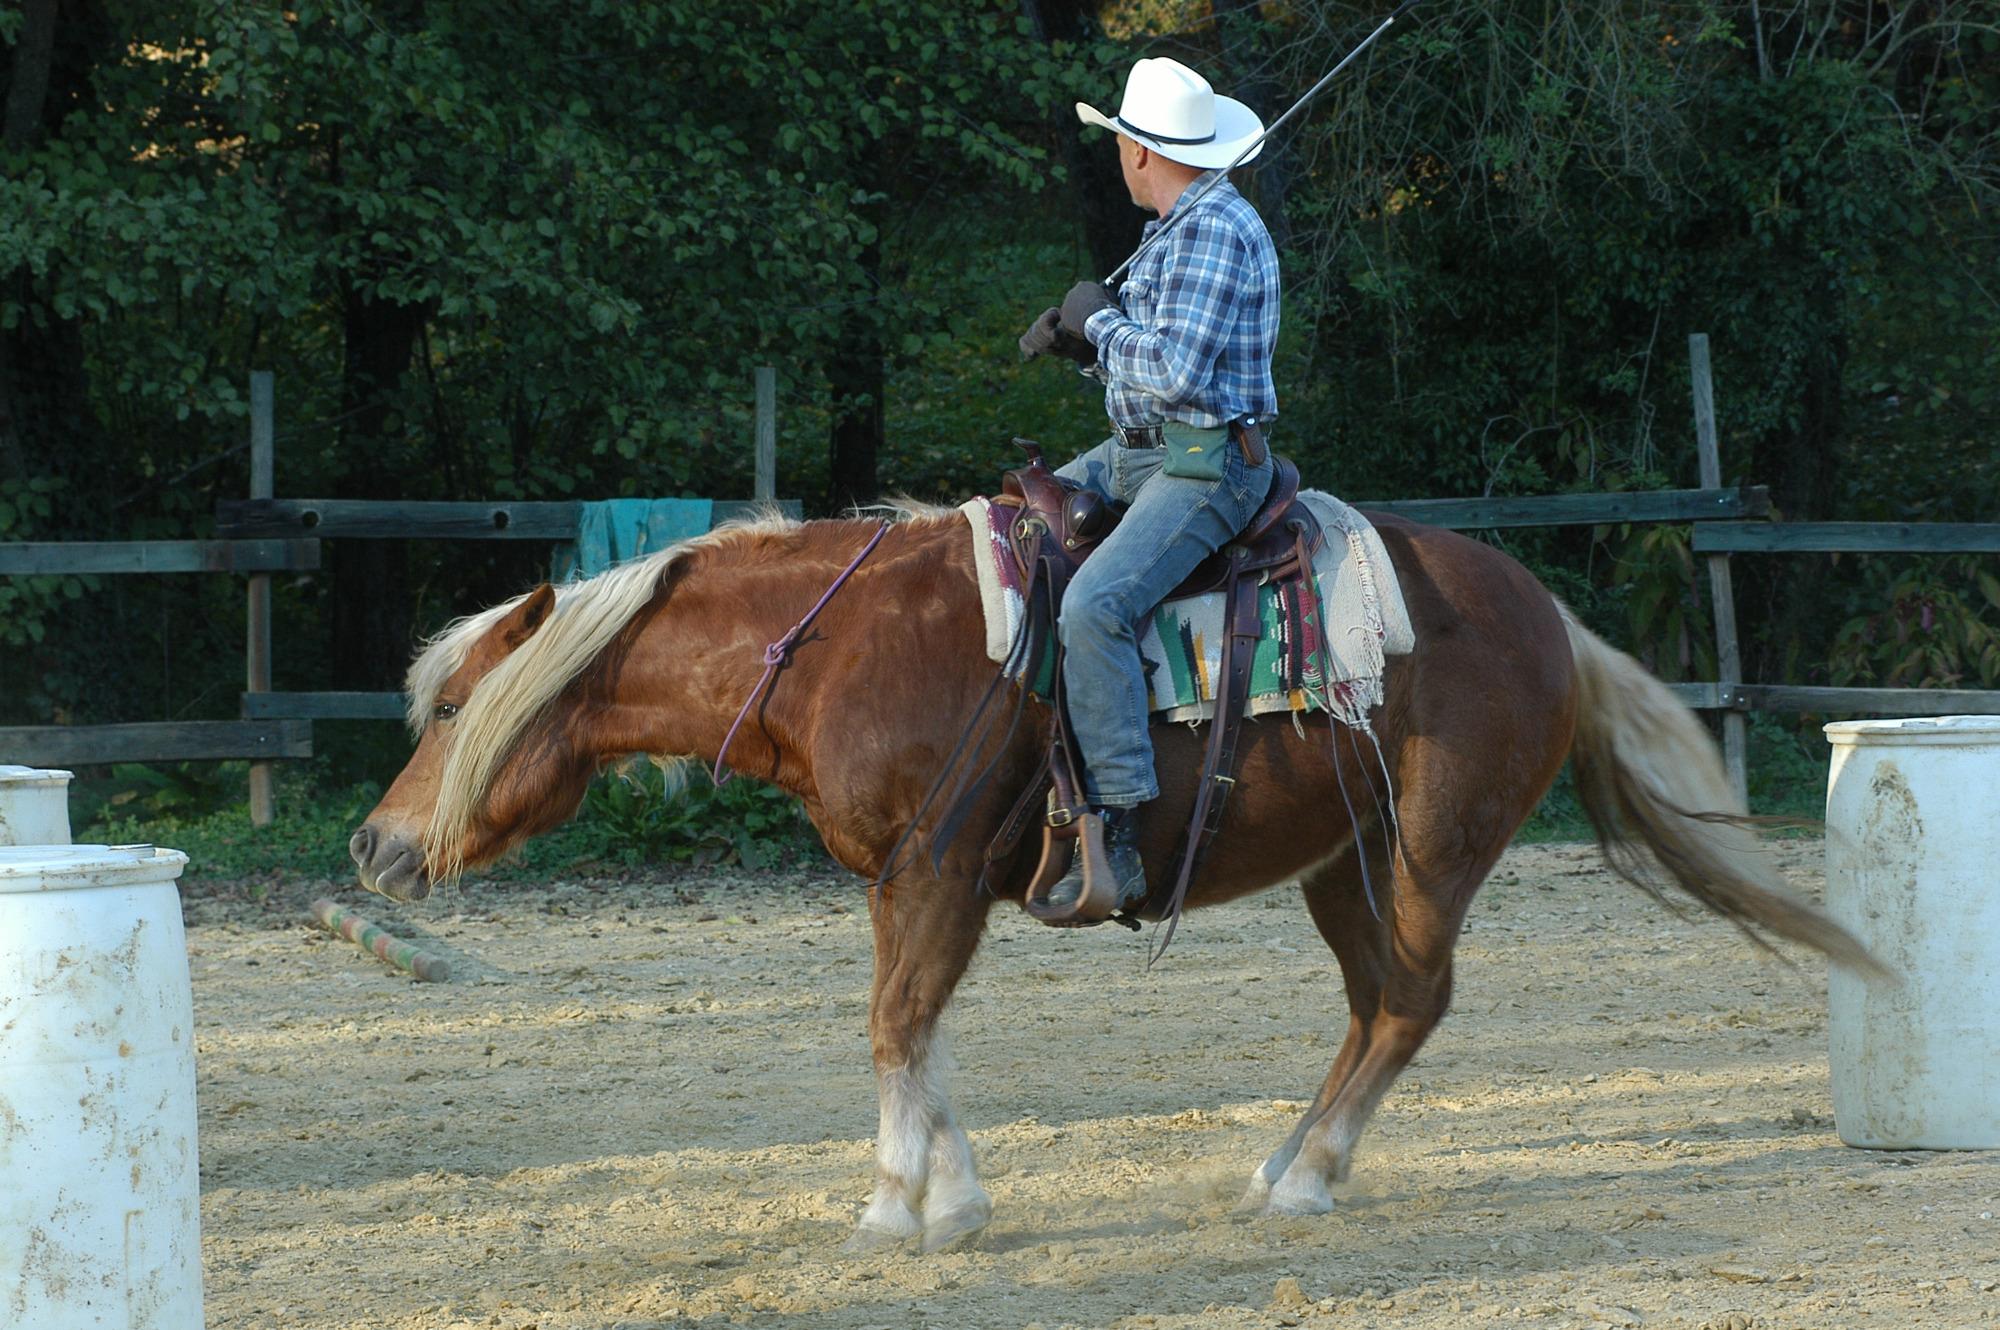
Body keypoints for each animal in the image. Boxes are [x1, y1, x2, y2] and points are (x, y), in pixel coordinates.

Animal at [352, 504, 1880, 1248]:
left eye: (450, 707)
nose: (371, 845)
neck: (847, 645)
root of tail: (1547, 612)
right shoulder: (906, 879)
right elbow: (918, 1030)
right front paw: (953, 1198)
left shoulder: (936, 866)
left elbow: (895, 1027)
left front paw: (895, 1207)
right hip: (1341, 866)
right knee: (1374, 1003)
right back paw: (1278, 1165)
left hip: (1428, 852)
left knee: (1411, 1004)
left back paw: (1308, 1180)